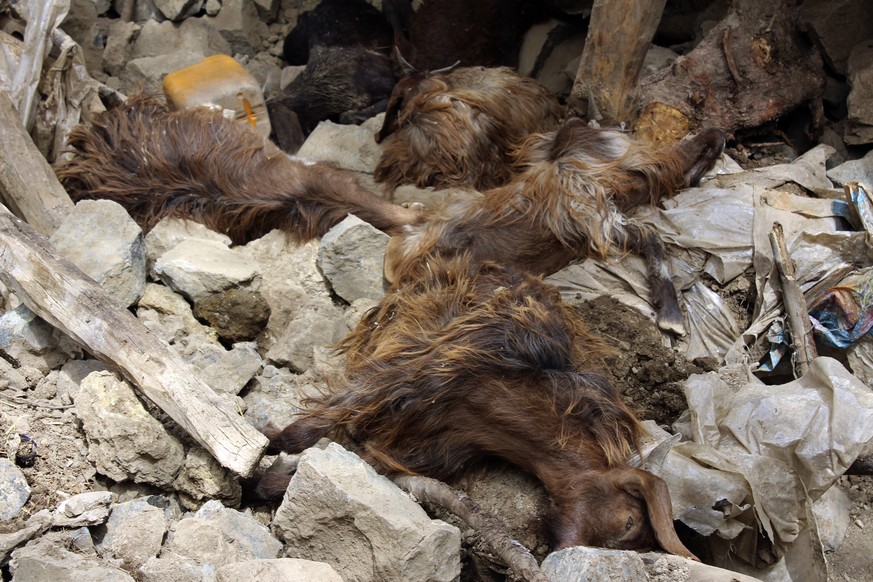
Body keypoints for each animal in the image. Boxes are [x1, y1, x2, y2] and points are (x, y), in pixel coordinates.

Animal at [255, 256, 700, 560]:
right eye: (629, 522)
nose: (564, 553)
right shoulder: (407, 371)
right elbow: (310, 428)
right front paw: (266, 447)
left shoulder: (421, 448)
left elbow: (354, 459)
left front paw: (268, 483)